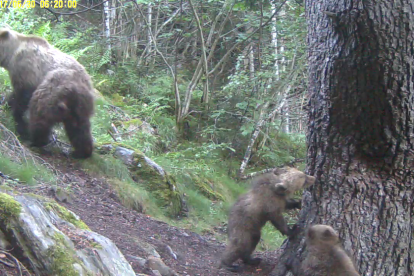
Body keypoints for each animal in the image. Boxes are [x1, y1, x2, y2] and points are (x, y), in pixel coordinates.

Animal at [0, 28, 94, 158]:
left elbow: (22, 97)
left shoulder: (27, 70)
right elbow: (14, 96)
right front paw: (6, 103)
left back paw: (34, 140)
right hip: (81, 107)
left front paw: (18, 119)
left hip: (54, 90)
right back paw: (81, 152)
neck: (12, 53)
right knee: (79, 128)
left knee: (40, 114)